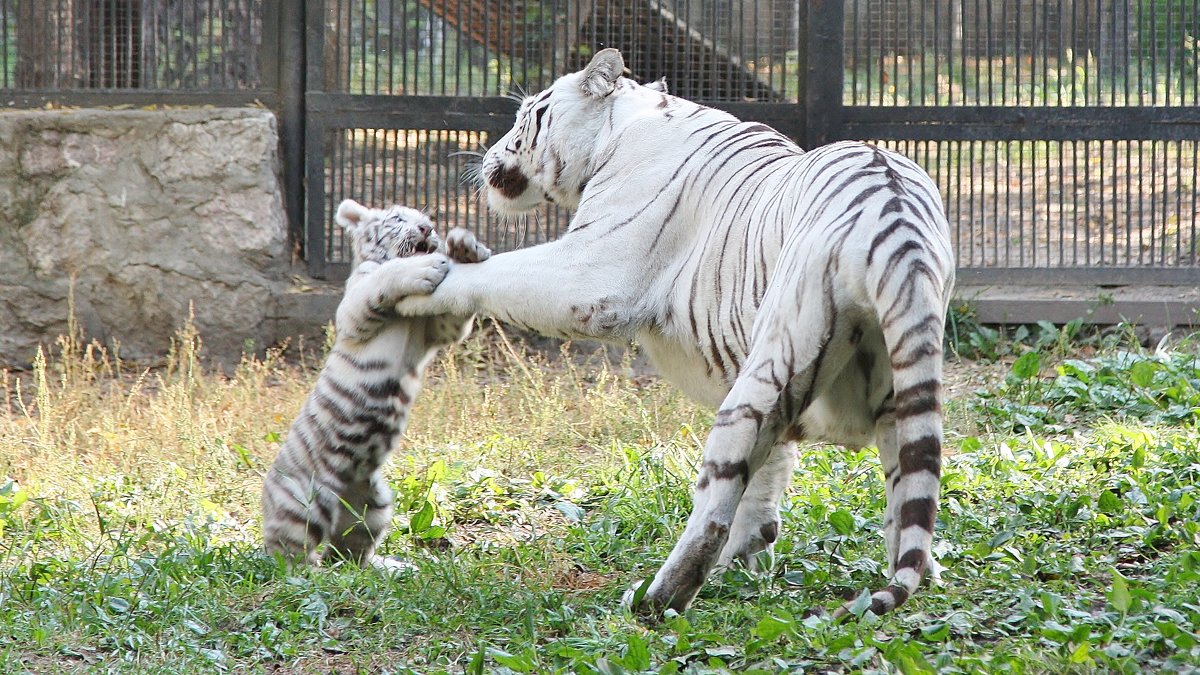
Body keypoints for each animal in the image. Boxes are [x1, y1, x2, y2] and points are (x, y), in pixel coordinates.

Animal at [393, 48, 955, 614]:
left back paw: (656, 597)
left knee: (715, 499)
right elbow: (769, 476)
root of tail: (897, 220)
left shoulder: (589, 274)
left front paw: (425, 275)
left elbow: (499, 275)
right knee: (909, 494)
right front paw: (748, 561)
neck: (621, 124)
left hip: (771, 368)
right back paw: (915, 570)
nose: (488, 156)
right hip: (900, 383)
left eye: (529, 113)